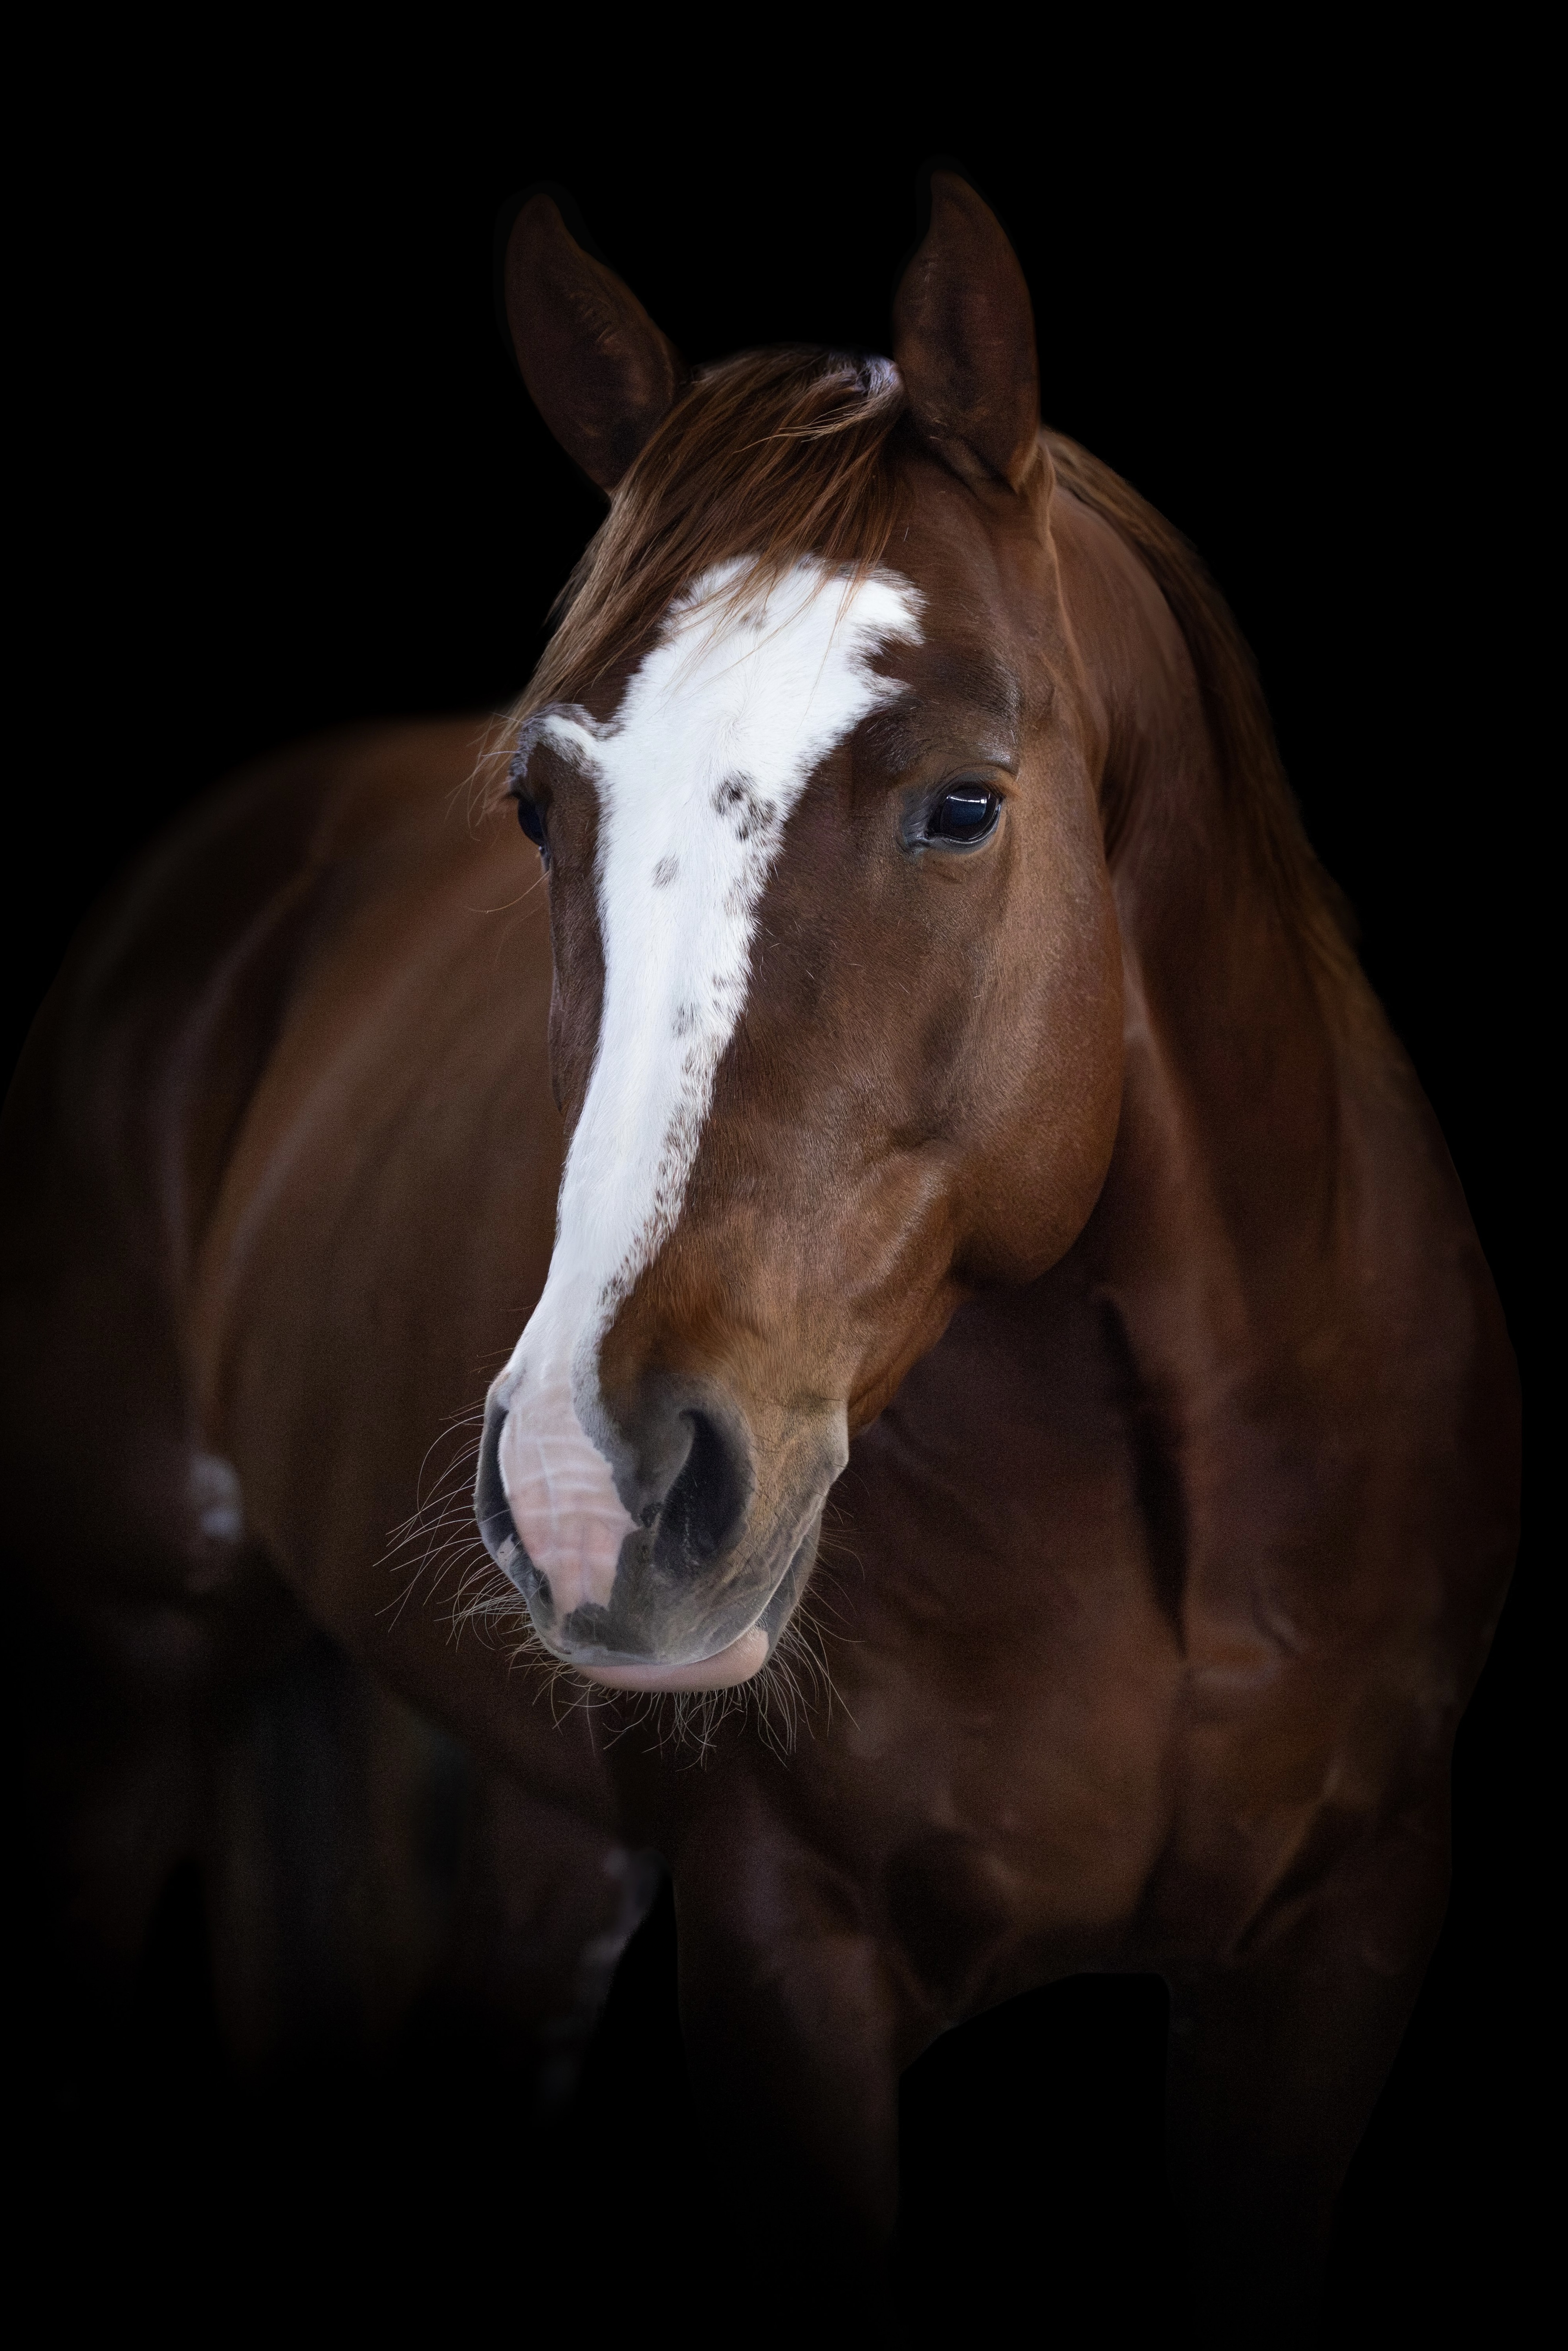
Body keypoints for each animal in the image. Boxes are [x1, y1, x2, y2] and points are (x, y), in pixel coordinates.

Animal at [2, 172, 1518, 2339]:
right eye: (542, 805)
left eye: (965, 802)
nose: (590, 1491)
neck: (1174, 1517)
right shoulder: (782, 1959)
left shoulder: (1340, 1950)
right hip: (116, 1697)